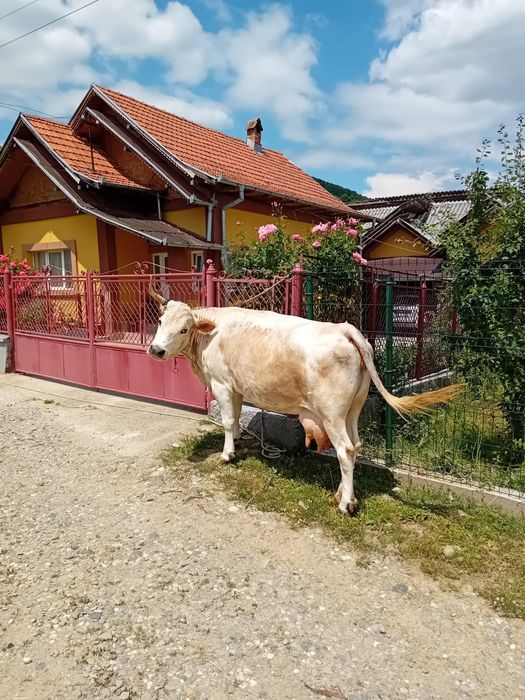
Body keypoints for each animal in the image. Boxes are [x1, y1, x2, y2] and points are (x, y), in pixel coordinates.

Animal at [147, 290, 462, 514]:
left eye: (184, 329)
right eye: (161, 322)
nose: (156, 349)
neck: (210, 335)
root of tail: (345, 329)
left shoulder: (222, 384)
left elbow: (226, 420)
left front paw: (227, 454)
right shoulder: (236, 388)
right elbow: (235, 417)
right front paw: (236, 441)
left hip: (332, 412)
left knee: (345, 450)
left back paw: (345, 504)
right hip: (353, 409)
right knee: (355, 446)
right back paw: (341, 493)